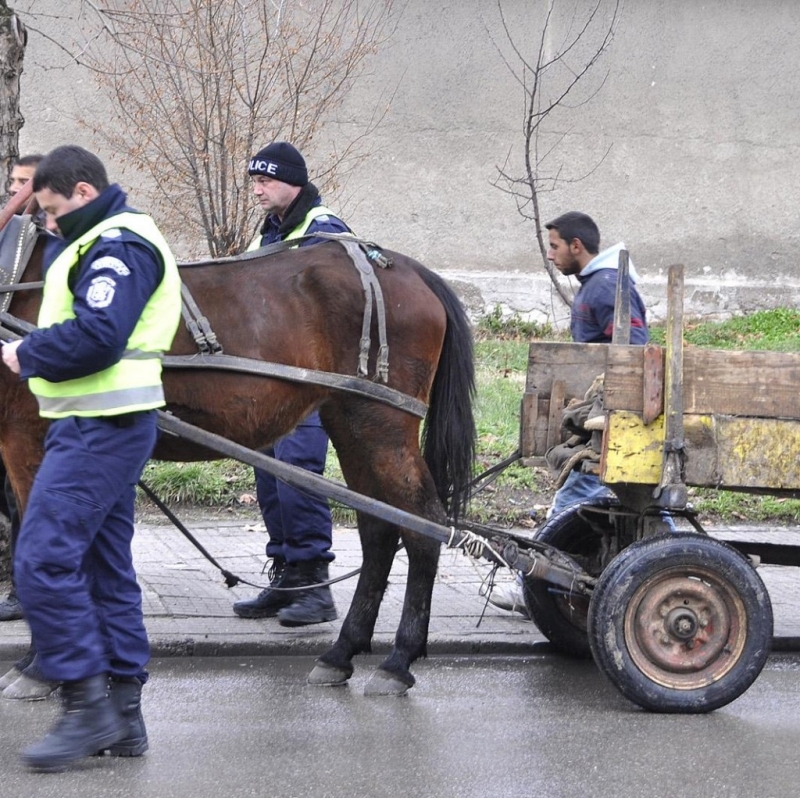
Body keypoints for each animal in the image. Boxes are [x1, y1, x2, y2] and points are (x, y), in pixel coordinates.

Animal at [0, 228, 476, 696]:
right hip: (351, 423)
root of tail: (406, 268)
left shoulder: (28, 439)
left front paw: (41, 665)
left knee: (423, 527)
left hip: (381, 424)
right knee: (379, 530)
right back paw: (342, 652)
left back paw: (399, 659)